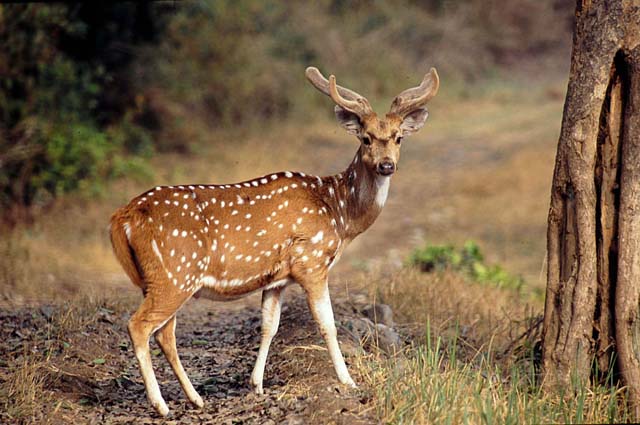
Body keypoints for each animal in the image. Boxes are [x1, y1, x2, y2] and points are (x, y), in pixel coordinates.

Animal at [109, 65, 439, 416]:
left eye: (398, 137)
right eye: (366, 138)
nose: (386, 165)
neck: (339, 213)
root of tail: (122, 217)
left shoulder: (276, 278)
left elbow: (270, 325)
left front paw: (256, 385)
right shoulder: (311, 261)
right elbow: (327, 323)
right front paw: (348, 381)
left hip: (163, 279)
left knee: (165, 334)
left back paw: (195, 398)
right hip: (174, 273)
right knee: (139, 326)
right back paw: (161, 405)